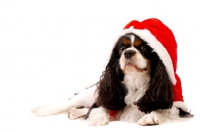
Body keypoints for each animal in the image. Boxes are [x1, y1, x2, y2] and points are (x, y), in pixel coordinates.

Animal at [31, 18, 194, 126]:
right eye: (122, 48)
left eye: (144, 48)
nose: (128, 52)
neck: (136, 80)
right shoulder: (107, 94)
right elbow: (101, 106)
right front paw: (98, 117)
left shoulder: (174, 102)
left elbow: (165, 109)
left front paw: (152, 116)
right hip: (89, 93)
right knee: (66, 104)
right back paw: (42, 110)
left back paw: (75, 112)